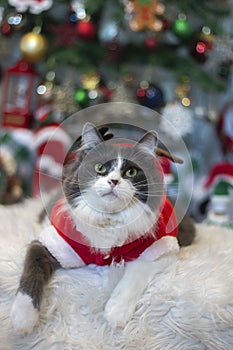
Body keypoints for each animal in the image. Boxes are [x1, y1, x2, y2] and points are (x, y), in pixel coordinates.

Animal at [10, 122, 195, 334]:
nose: (113, 181)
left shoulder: (159, 249)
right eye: (100, 168)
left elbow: (134, 275)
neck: (109, 220)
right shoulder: (51, 244)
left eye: (131, 172)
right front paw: (22, 319)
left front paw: (116, 313)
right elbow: (31, 274)